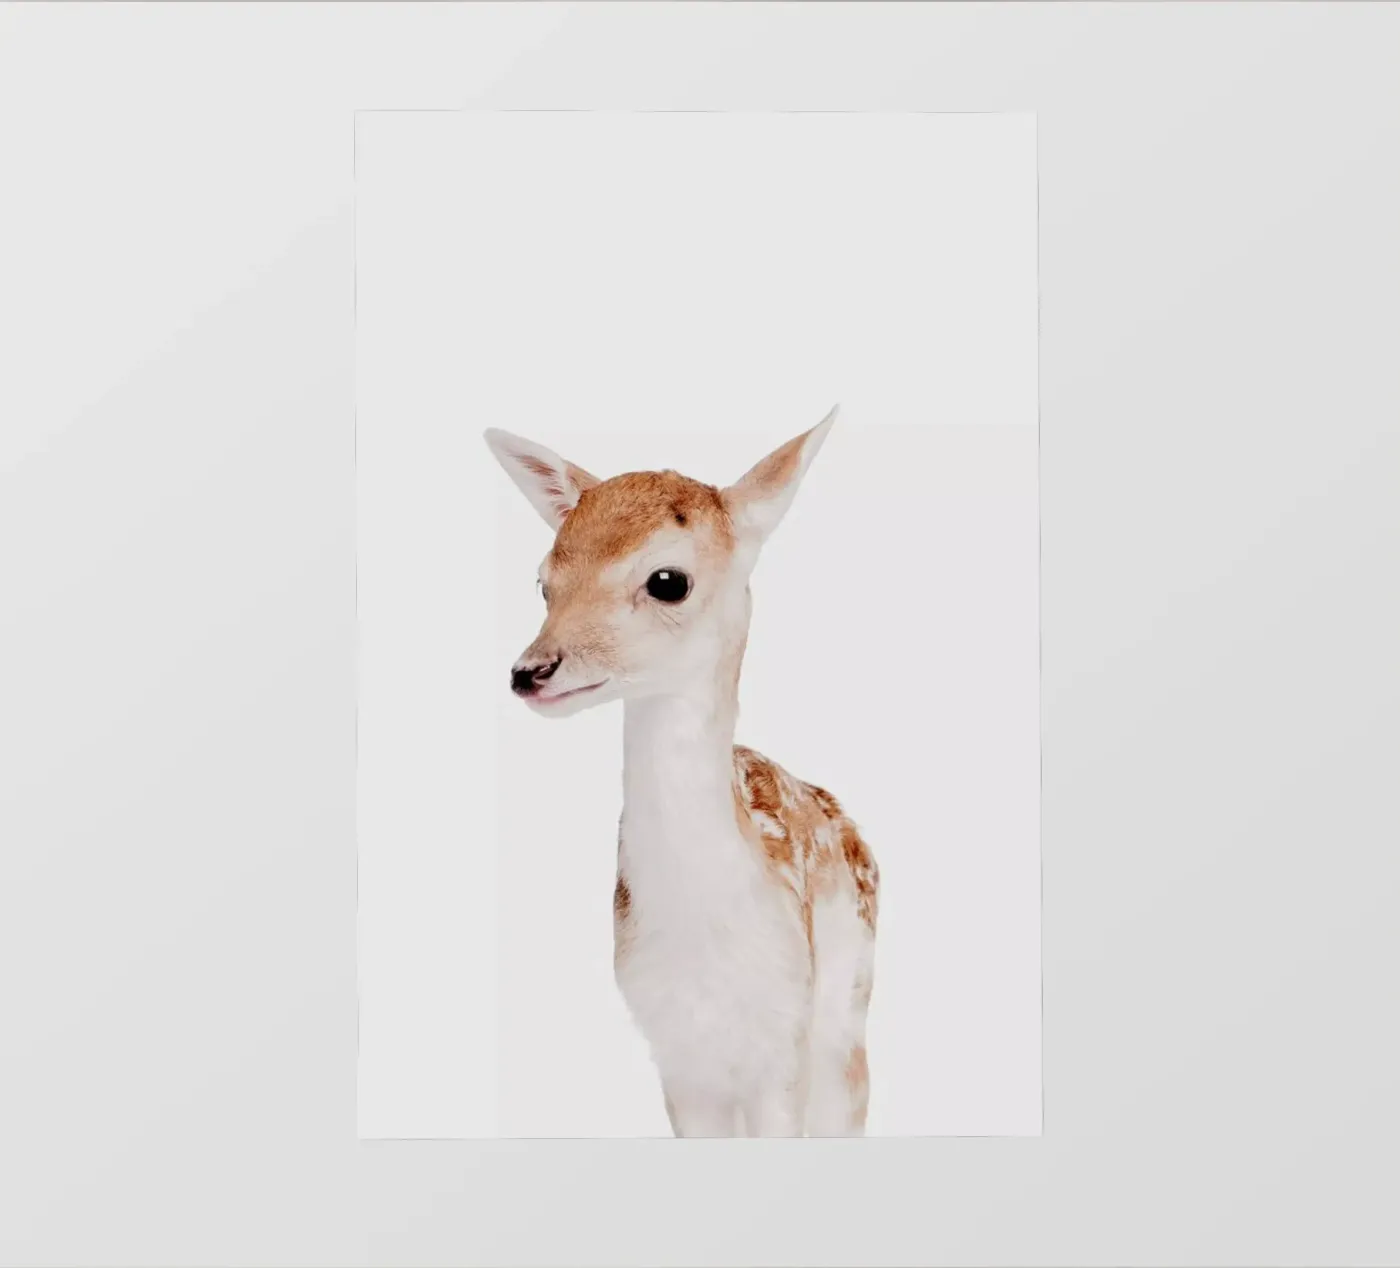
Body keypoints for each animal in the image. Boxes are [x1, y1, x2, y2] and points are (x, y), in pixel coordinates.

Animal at [485, 410, 878, 1137]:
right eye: (544, 581)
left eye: (668, 580)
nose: (530, 671)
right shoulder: (676, 1057)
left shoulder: (784, 1041)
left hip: (848, 1008)